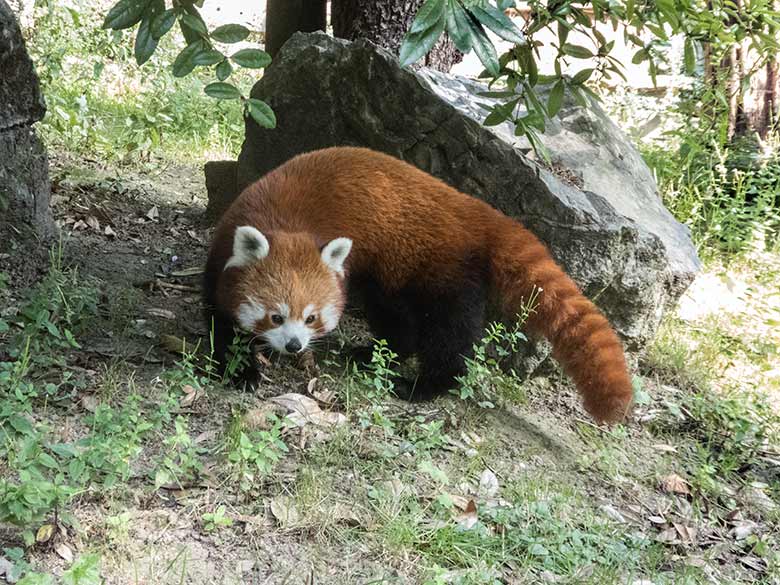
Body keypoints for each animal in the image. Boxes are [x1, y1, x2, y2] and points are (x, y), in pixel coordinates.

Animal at [206, 145, 632, 420]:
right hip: (392, 274)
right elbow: (220, 321)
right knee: (399, 321)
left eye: (311, 318)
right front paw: (239, 369)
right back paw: (373, 355)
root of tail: (476, 212)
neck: (287, 222)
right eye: (276, 317)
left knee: (446, 334)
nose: (295, 345)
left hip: (438, 269)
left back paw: (424, 385)